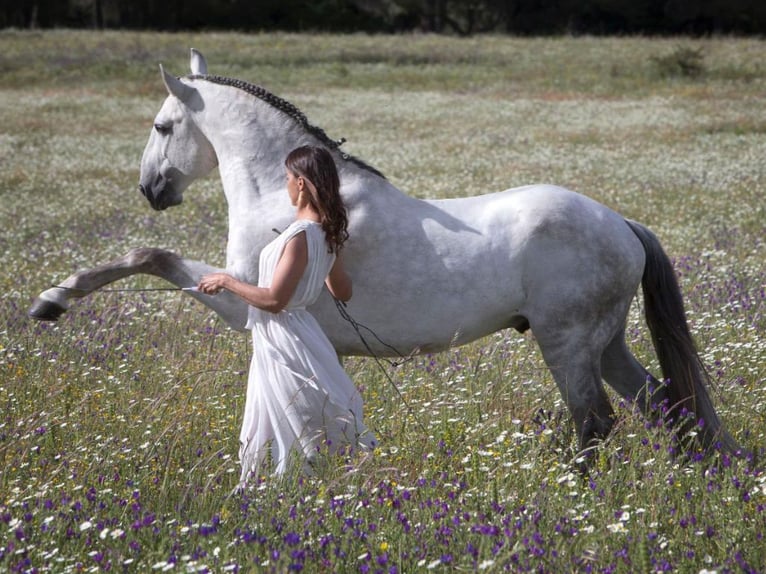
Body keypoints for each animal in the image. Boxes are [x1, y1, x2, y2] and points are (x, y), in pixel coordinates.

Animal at [30, 47, 744, 462]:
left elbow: (150, 256)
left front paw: (53, 300)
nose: (151, 189)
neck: (289, 195)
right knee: (665, 405)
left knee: (596, 424)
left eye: (162, 126)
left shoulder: (243, 302)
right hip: (607, 343)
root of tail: (621, 223)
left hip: (567, 343)